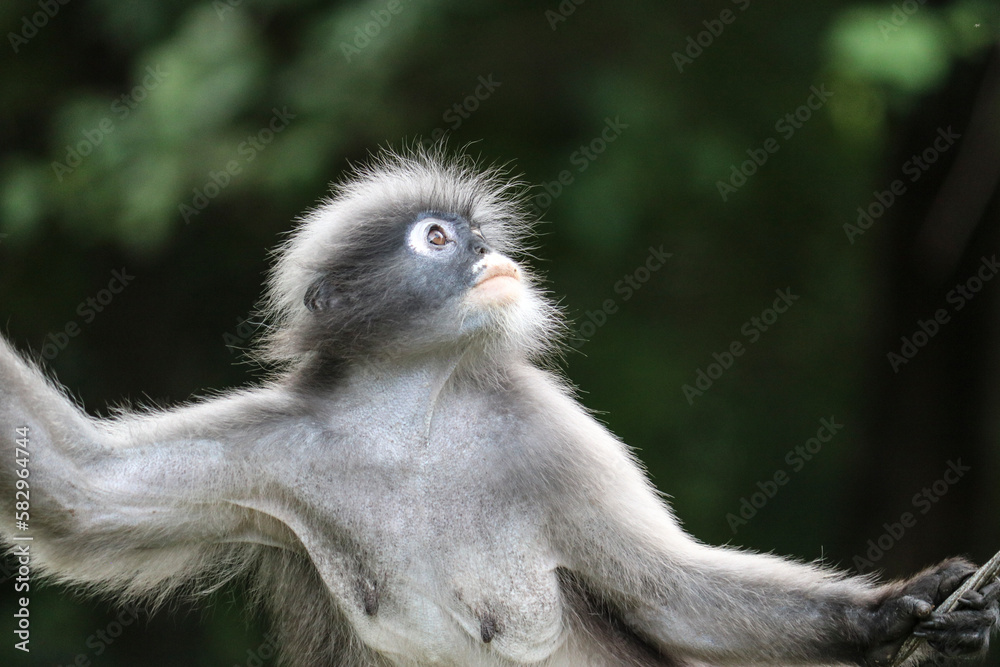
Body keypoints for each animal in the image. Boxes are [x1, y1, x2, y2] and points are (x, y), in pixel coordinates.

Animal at [0, 147, 997, 667]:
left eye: (474, 234)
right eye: (439, 238)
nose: (489, 255)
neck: (411, 422)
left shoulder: (549, 431)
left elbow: (674, 596)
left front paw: (897, 607)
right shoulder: (278, 444)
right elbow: (70, 488)